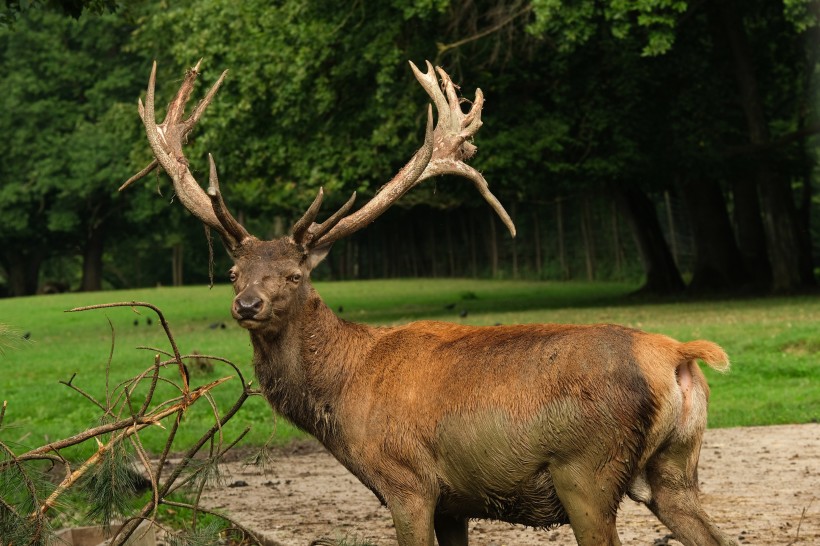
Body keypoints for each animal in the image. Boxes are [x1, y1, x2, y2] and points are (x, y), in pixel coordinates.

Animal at [123, 59, 736, 544]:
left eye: (295, 275)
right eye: (233, 272)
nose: (247, 305)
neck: (340, 396)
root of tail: (680, 357)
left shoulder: (408, 481)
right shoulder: (456, 502)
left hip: (586, 471)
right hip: (674, 469)